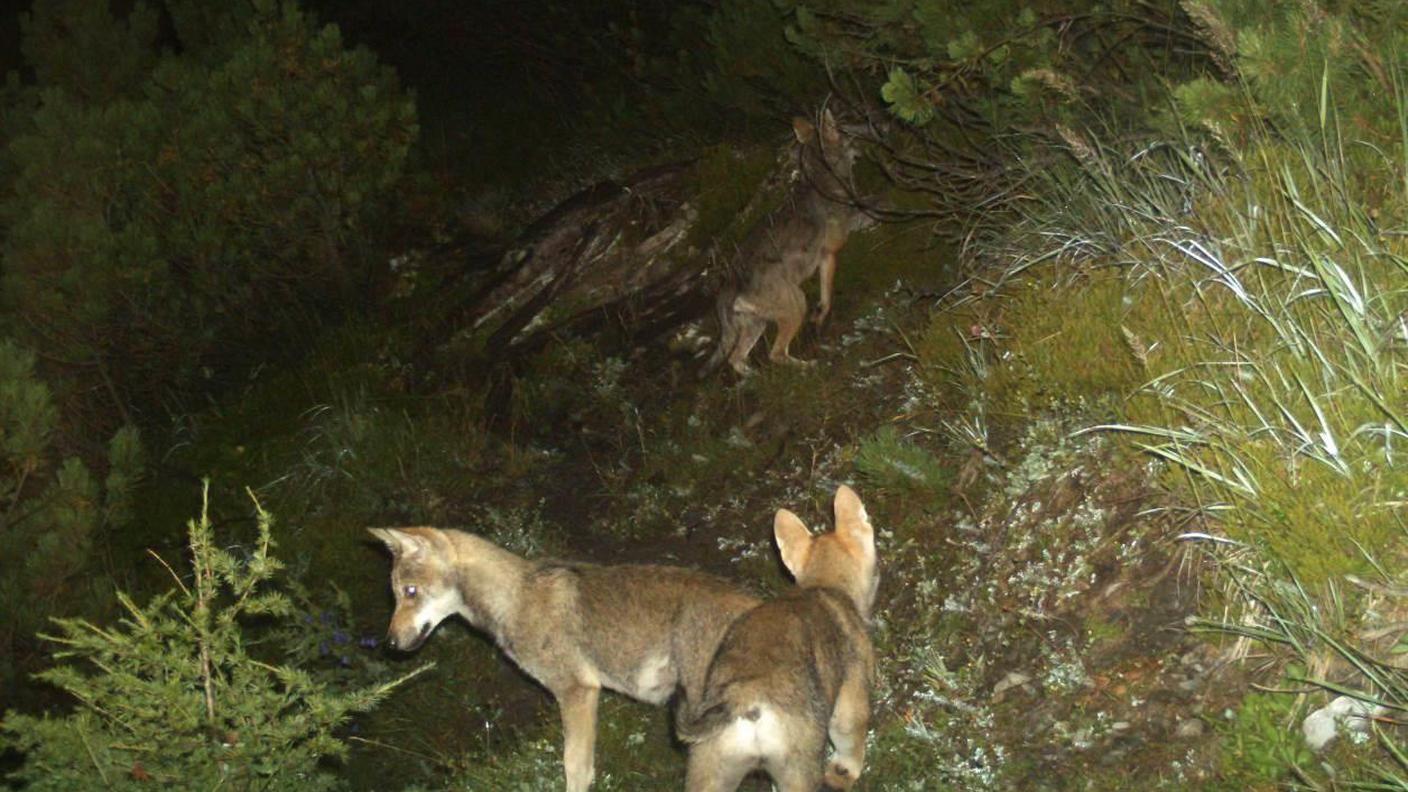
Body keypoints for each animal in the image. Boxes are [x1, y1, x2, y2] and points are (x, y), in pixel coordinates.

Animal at [367, 527, 760, 792]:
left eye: (411, 592)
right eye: (395, 595)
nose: (389, 643)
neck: (514, 600)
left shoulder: (577, 692)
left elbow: (574, 769)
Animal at [675, 485, 879, 791]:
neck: (824, 584)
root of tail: (744, 699)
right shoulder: (849, 698)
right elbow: (850, 744)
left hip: (709, 770)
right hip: (797, 771)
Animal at [705, 108, 858, 375]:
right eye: (843, 130)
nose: (858, 144)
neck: (822, 180)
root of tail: (729, 286)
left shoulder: (825, 258)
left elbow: (825, 298)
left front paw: (818, 319)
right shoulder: (830, 254)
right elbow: (827, 298)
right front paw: (820, 318)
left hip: (758, 324)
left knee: (736, 358)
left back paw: (753, 377)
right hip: (796, 304)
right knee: (775, 354)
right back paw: (809, 366)